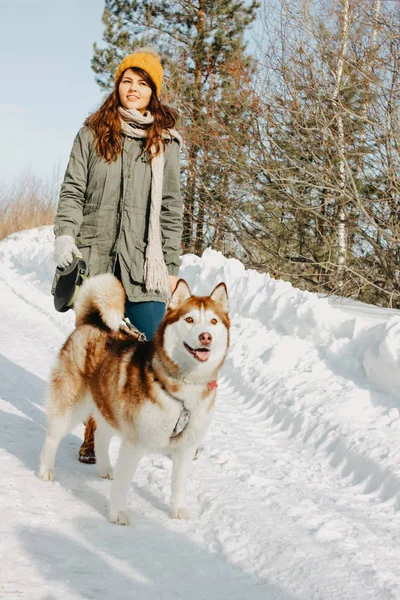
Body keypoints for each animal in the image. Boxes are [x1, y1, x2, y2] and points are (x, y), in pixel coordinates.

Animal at [39, 276, 231, 524]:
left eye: (214, 321)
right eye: (189, 319)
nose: (205, 336)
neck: (183, 389)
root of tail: (90, 321)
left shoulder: (186, 446)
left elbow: (179, 483)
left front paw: (179, 510)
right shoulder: (135, 442)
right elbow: (123, 484)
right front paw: (119, 513)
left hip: (109, 405)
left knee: (101, 435)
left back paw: (105, 468)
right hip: (71, 404)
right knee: (53, 436)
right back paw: (46, 469)